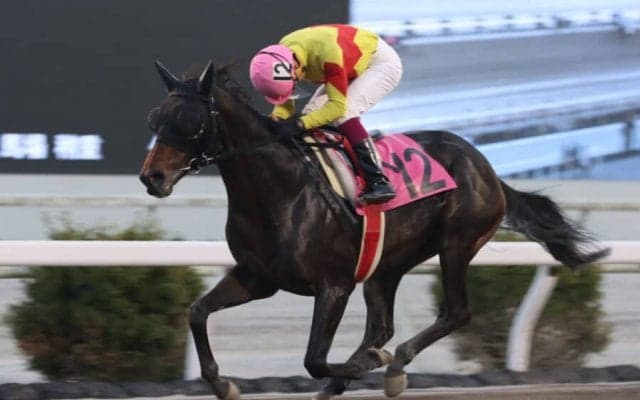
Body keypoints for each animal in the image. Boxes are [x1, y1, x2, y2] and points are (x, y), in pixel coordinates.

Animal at [139, 60, 609, 400]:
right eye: (155, 118)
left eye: (188, 120)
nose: (152, 177)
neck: (280, 190)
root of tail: (488, 168)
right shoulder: (257, 278)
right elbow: (197, 312)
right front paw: (222, 383)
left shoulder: (334, 285)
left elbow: (314, 359)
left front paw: (366, 365)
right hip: (387, 265)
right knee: (382, 325)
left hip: (457, 242)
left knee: (454, 313)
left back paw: (393, 364)